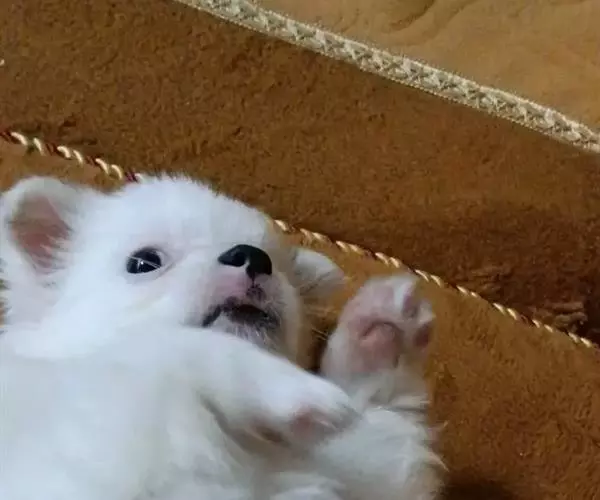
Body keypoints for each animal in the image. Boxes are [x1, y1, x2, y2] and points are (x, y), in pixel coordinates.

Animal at [0, 175, 440, 500]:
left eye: (271, 259)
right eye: (143, 262)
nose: (252, 256)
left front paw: (381, 334)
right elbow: (175, 347)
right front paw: (298, 390)